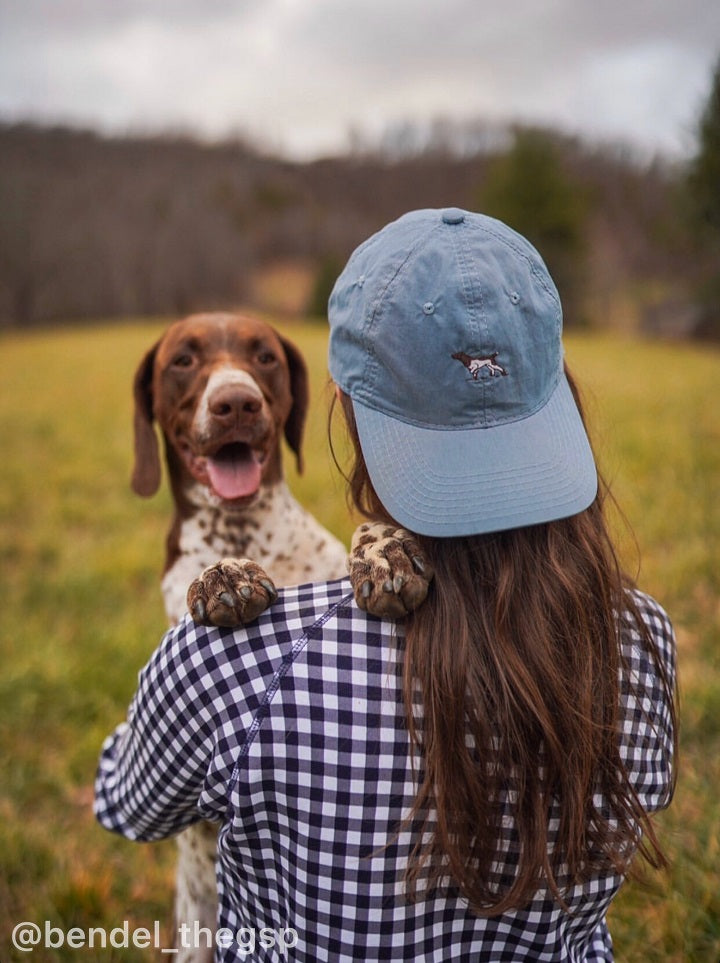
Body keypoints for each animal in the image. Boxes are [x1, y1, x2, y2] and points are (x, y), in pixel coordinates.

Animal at [131, 312, 430, 960]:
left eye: (263, 356)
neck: (246, 527)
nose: (235, 402)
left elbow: (370, 529)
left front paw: (386, 553)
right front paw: (224, 574)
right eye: (183, 360)